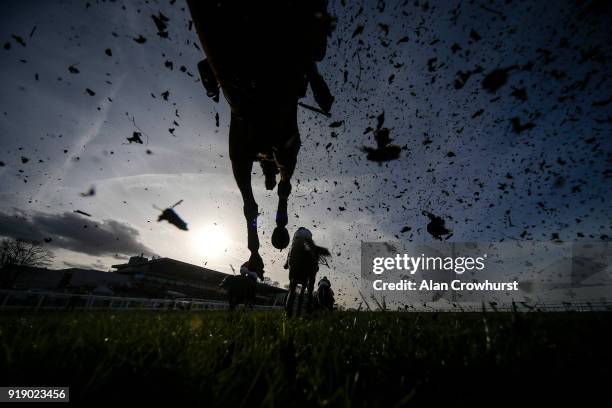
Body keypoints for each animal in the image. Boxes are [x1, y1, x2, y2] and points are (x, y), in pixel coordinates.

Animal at [189, 0, 338, 278]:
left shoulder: (287, 149)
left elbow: (285, 188)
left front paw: (280, 233)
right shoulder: (240, 158)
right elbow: (249, 207)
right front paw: (255, 260)